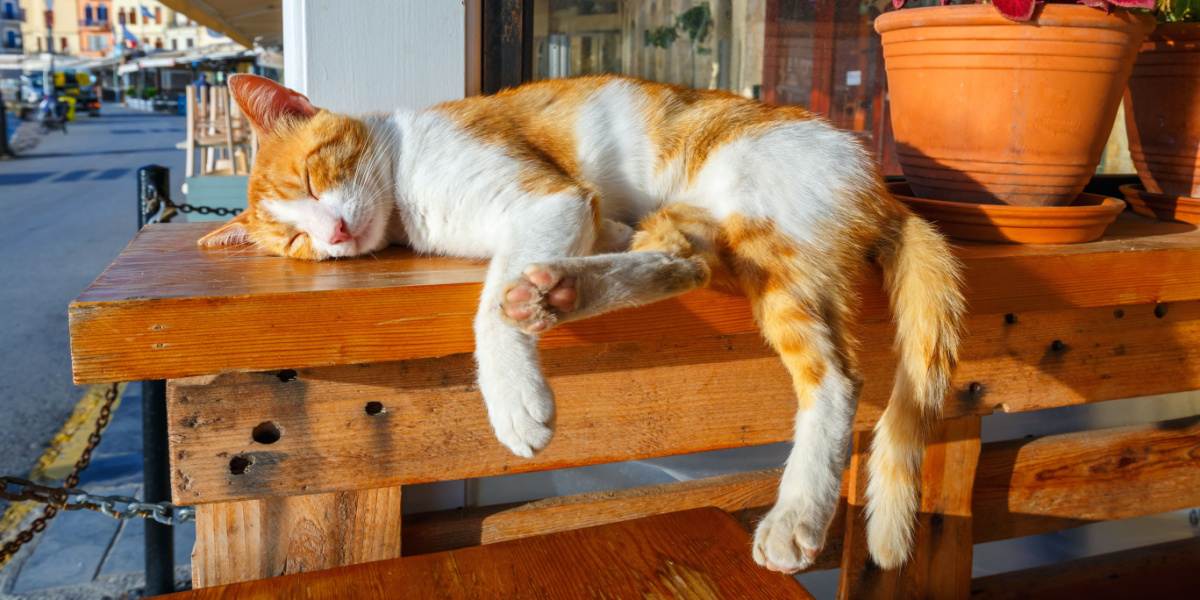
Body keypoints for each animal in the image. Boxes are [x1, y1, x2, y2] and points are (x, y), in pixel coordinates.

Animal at [199, 72, 964, 573]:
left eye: (309, 177)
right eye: (295, 242)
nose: (330, 233)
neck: (405, 193)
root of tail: (878, 184)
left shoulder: (549, 199)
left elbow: (489, 304)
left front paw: (514, 398)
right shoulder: (579, 214)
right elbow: (565, 250)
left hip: (768, 230)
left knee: (834, 379)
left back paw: (797, 514)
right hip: (696, 223)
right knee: (684, 262)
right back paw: (565, 288)